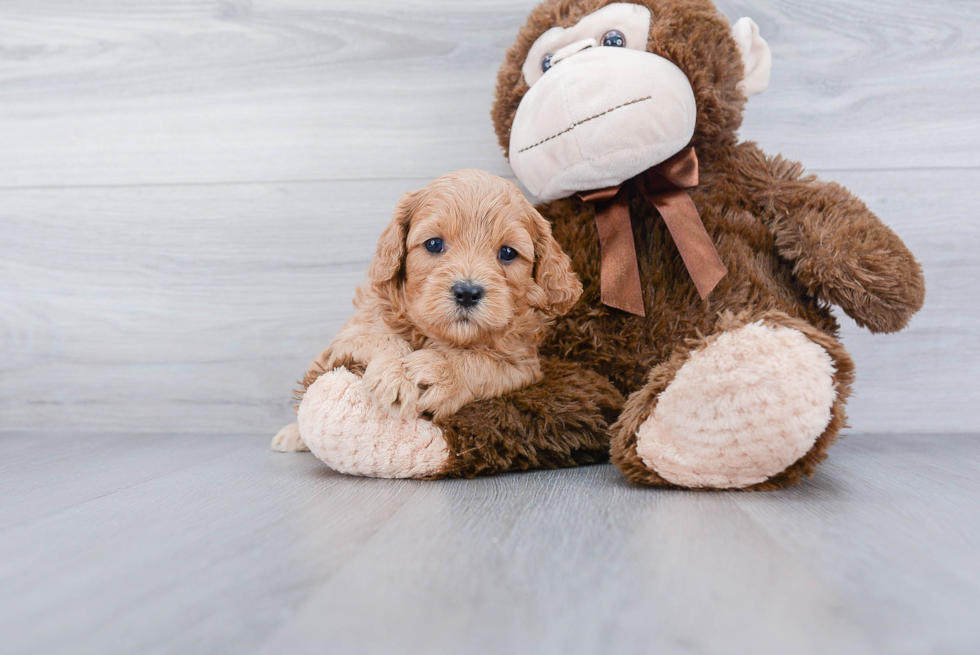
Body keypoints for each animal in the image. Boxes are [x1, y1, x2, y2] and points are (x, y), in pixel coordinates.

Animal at [294, 170, 580, 420]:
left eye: (508, 252)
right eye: (433, 244)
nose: (467, 293)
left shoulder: (524, 366)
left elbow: (486, 364)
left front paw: (442, 371)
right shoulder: (345, 338)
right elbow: (380, 337)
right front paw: (396, 373)